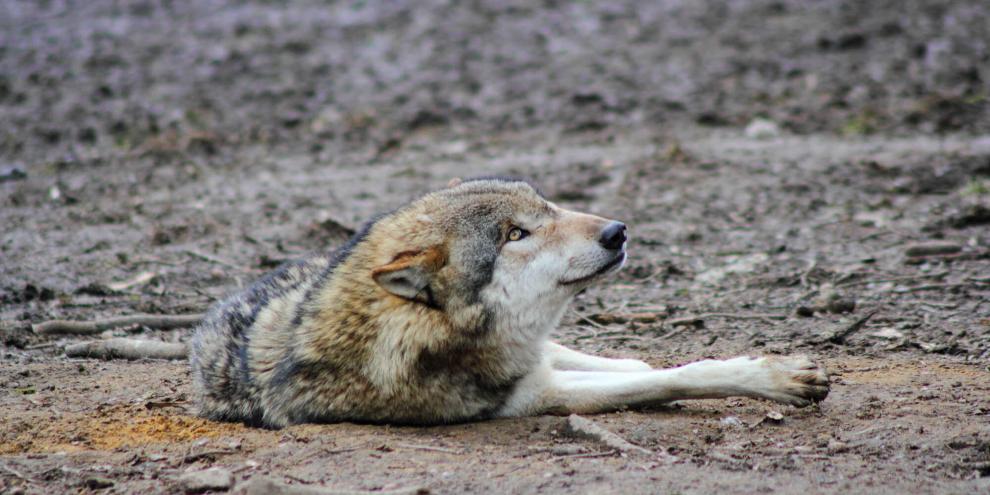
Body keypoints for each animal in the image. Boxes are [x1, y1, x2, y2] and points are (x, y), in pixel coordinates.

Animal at [190, 177, 828, 428]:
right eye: (514, 235)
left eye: (548, 209)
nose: (617, 231)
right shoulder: (532, 396)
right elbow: (673, 377)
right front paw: (775, 377)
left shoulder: (536, 364)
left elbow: (646, 367)